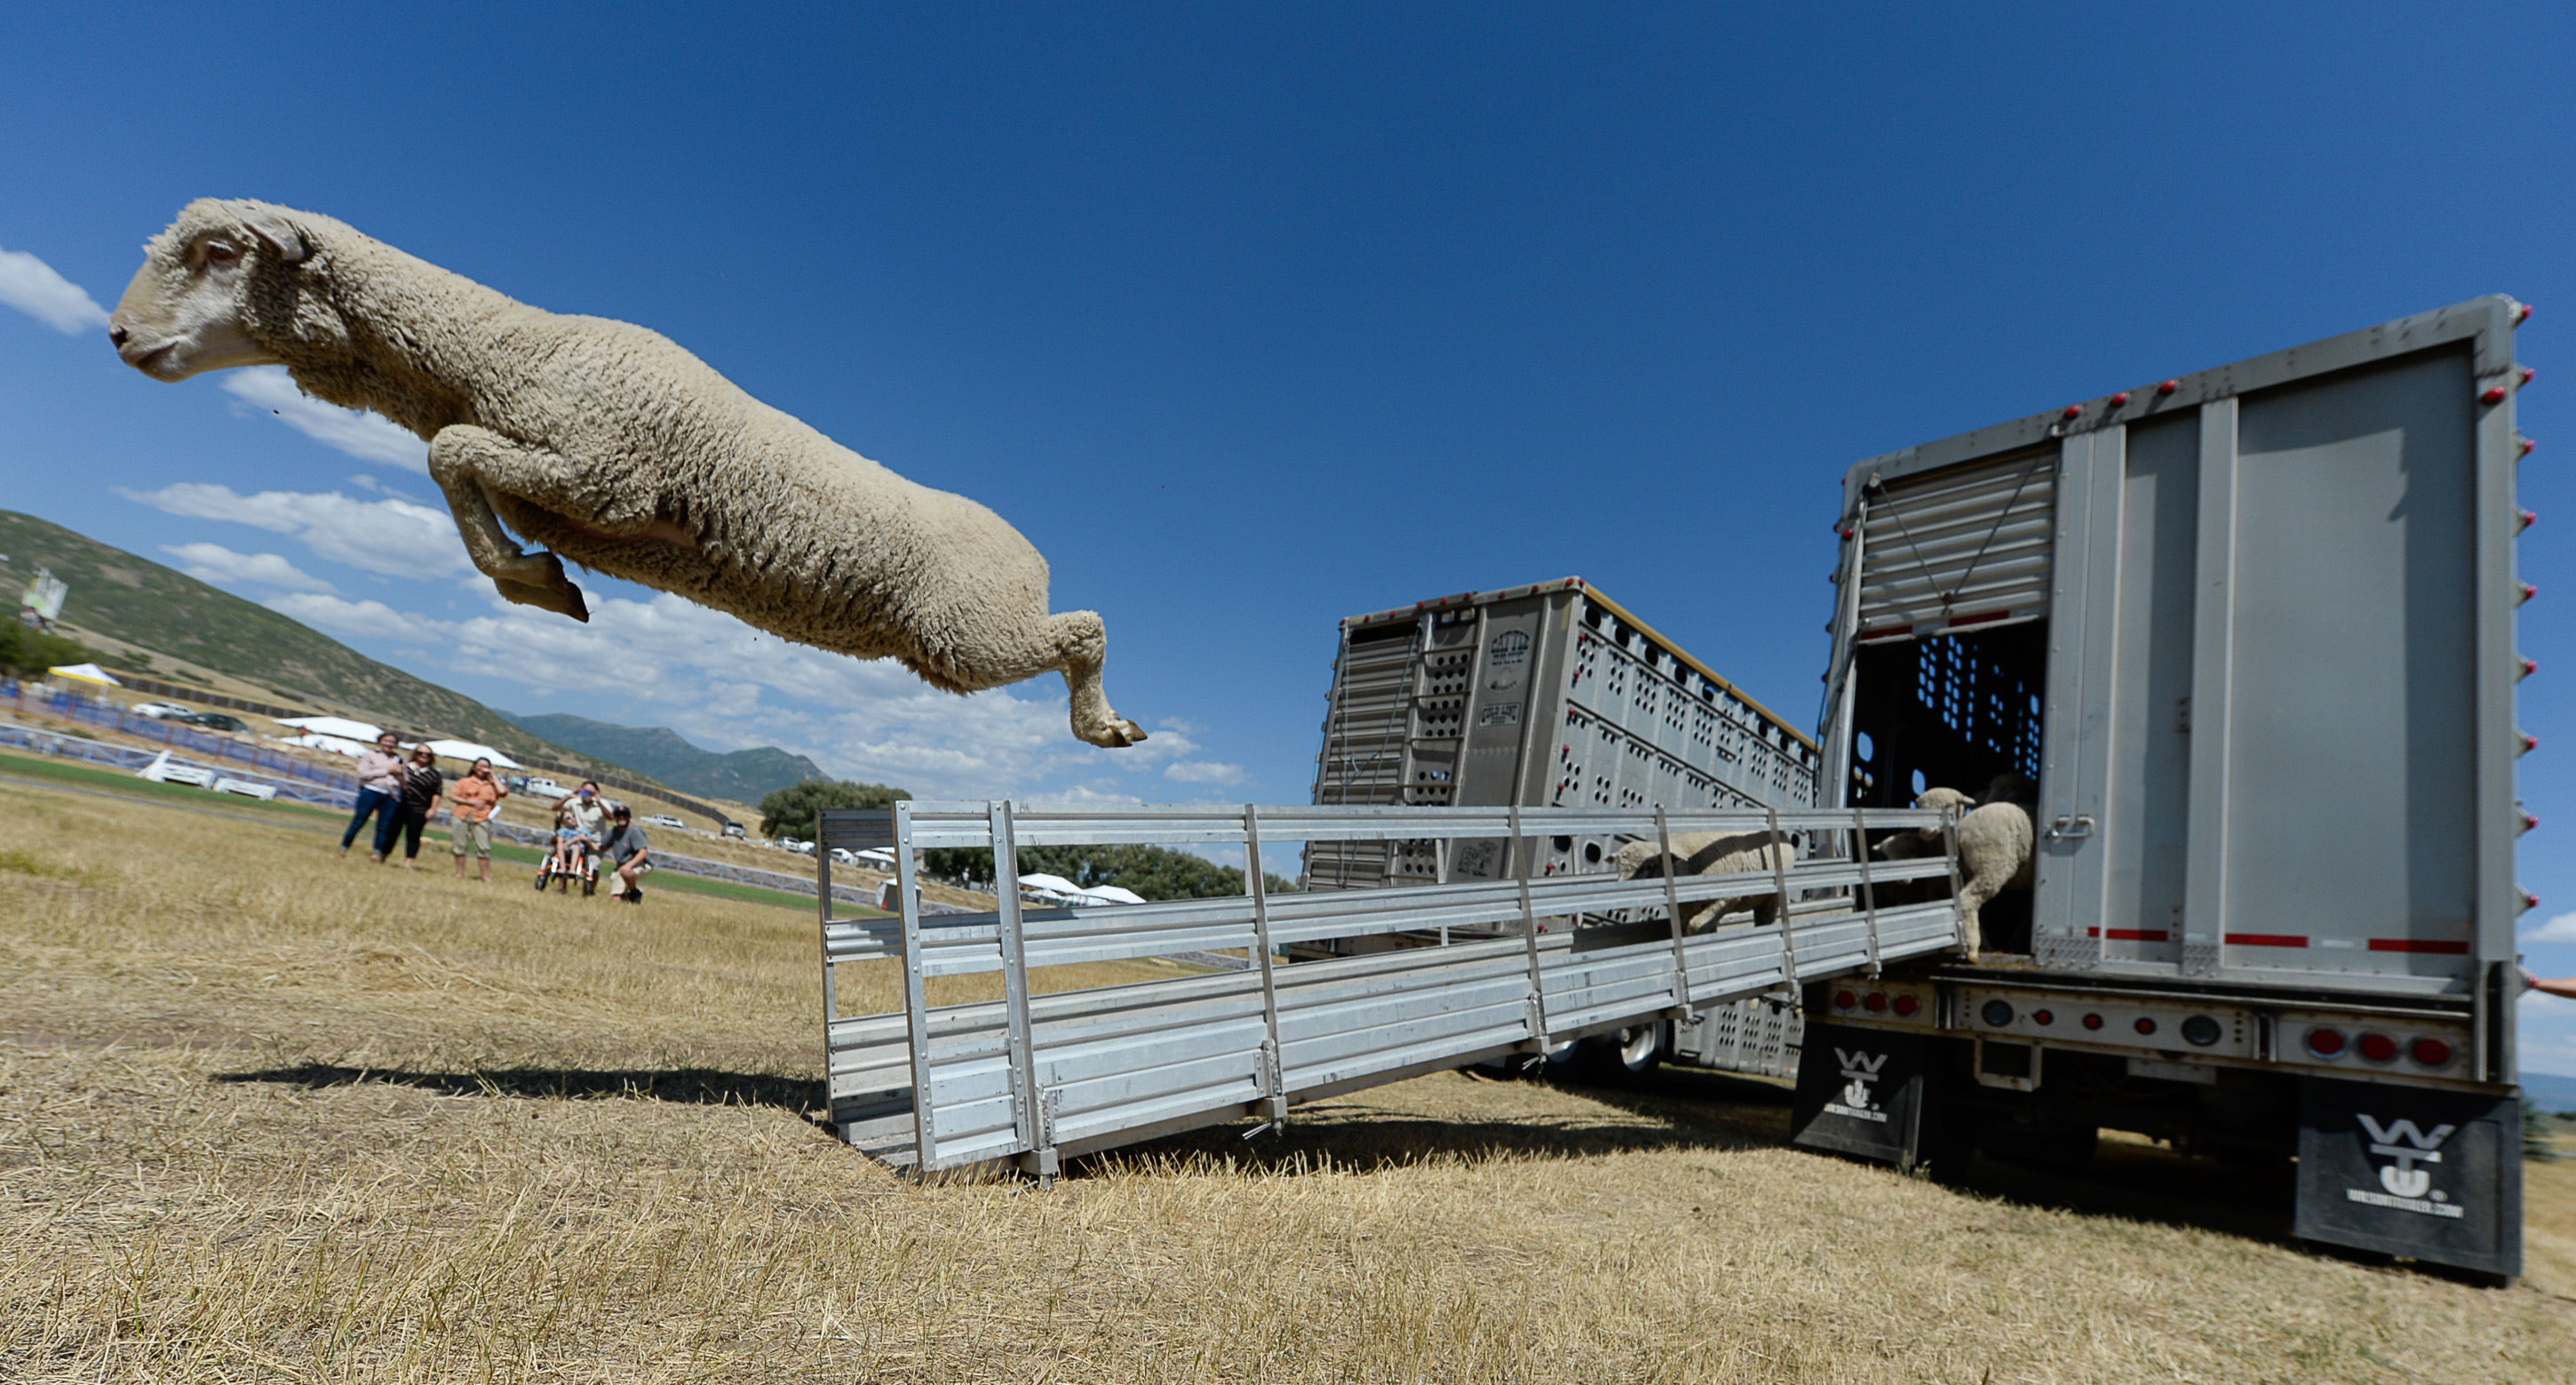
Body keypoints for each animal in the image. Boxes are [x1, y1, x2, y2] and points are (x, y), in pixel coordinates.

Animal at [106, 199, 1147, 748]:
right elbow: (456, 473)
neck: (500, 352)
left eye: (219, 253)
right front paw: (537, 580)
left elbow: (446, 453)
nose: (117, 334)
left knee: (1087, 627)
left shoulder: (606, 476)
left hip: (967, 632)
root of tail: (1031, 554)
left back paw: (1105, 725)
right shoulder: (556, 480)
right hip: (948, 647)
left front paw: (538, 582)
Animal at [1613, 829, 1796, 933]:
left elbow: (1695, 926)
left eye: (1649, 866)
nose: (1622, 900)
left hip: (1772, 898)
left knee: (1766, 919)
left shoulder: (1728, 898)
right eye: (1618, 868)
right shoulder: (1686, 911)